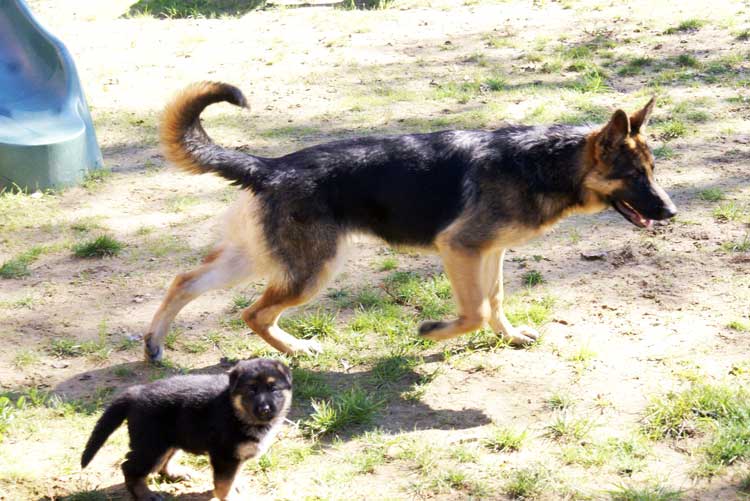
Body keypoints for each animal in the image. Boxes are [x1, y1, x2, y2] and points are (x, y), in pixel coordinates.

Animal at [81, 358, 292, 498]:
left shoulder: (235, 458)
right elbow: (223, 483)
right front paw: (229, 496)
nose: (265, 409)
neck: (235, 410)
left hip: (171, 439)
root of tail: (135, 392)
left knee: (162, 463)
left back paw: (176, 474)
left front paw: (236, 485)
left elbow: (233, 477)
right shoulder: (224, 456)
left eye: (274, 389)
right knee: (130, 467)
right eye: (251, 390)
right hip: (151, 445)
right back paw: (146, 495)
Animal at [144, 83, 680, 364]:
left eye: (653, 171)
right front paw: (431, 332)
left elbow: (494, 302)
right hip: (312, 271)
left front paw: (508, 337)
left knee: (185, 281)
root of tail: (269, 166)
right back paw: (296, 348)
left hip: (259, 260)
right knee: (253, 313)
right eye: (635, 176)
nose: (672, 213)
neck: (544, 163)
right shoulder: (459, 248)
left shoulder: (489, 253)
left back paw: (154, 344)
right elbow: (474, 312)